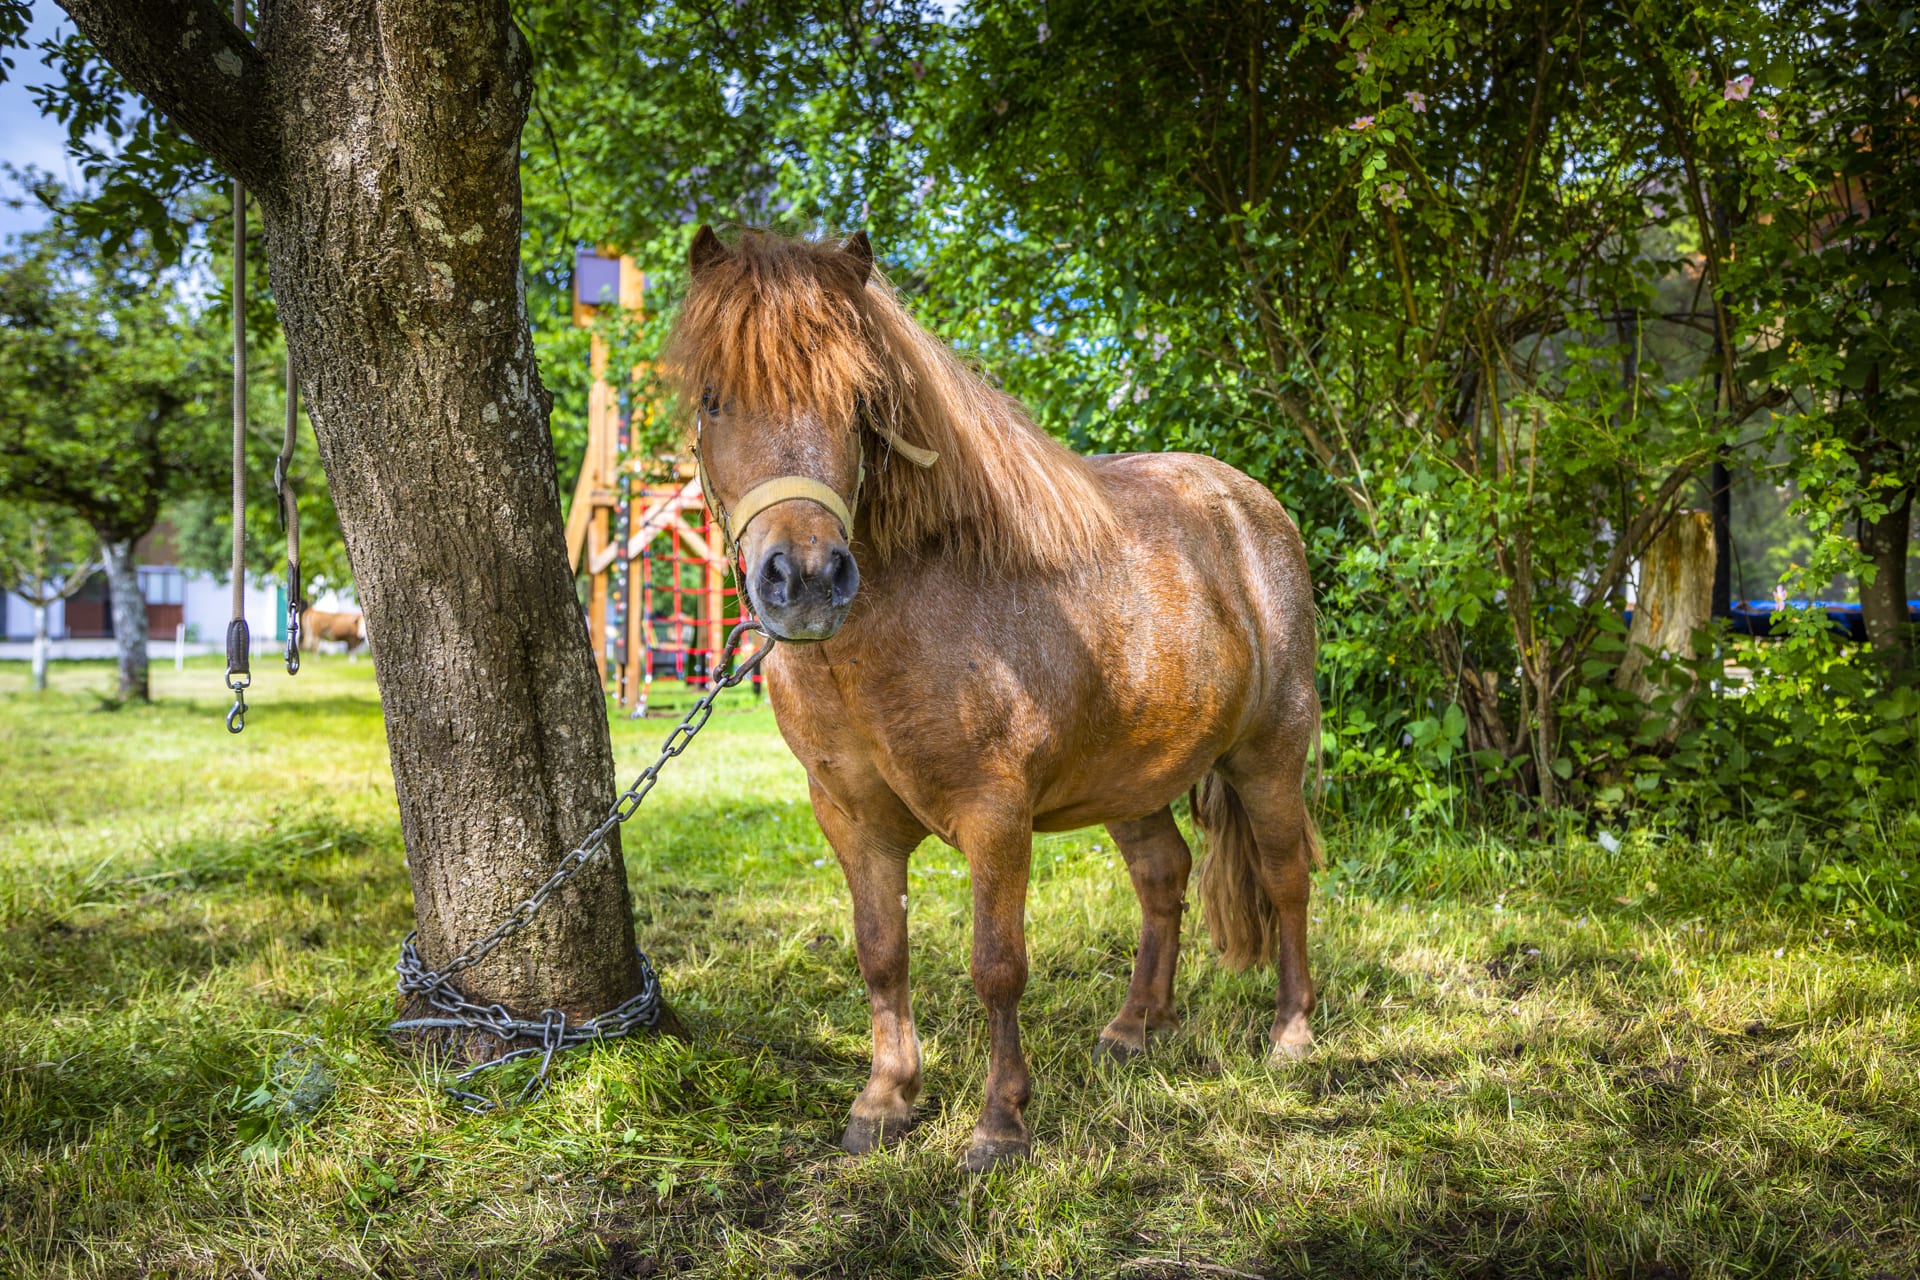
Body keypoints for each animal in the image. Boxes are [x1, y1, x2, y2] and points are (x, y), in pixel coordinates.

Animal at [664, 226, 1321, 1172]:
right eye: (715, 401)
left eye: (858, 404)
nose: (809, 579)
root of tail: (1251, 507)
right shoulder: (850, 818)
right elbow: (881, 954)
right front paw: (885, 1101)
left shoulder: (995, 816)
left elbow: (997, 965)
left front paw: (999, 1122)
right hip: (1134, 779)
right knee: (1163, 877)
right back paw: (1136, 1026)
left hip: (1270, 755)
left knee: (1285, 876)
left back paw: (1292, 1033)